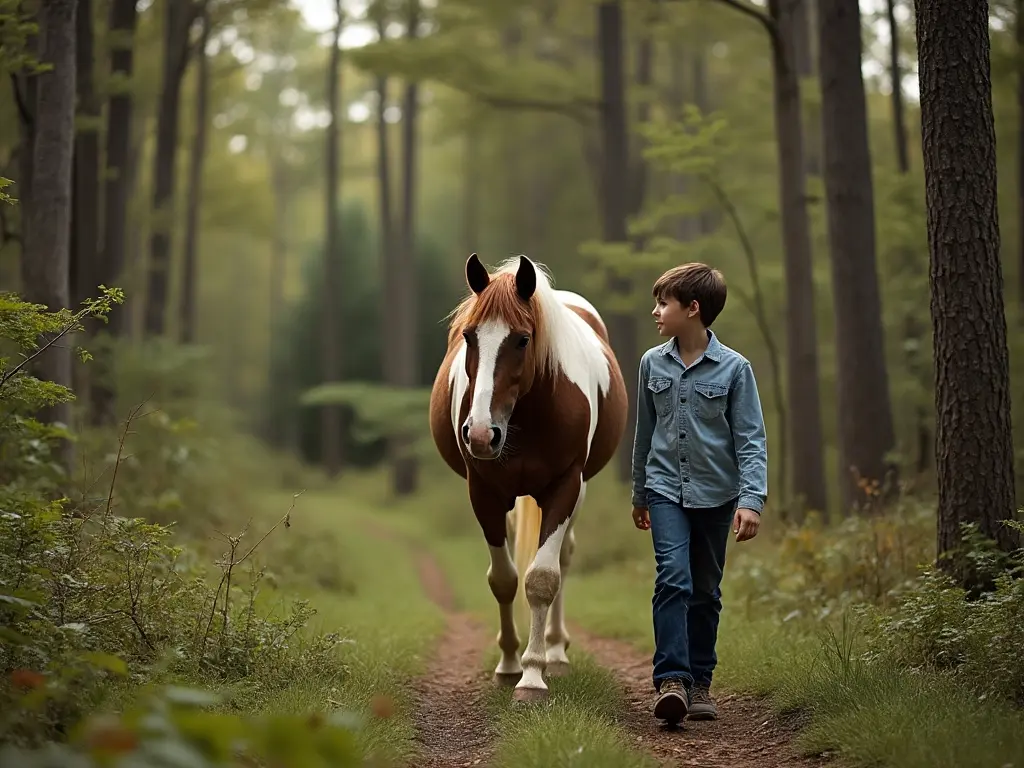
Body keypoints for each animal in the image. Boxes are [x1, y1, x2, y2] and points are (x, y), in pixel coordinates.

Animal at [428, 253, 626, 704]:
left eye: (521, 340)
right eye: (469, 336)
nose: (481, 434)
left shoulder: (565, 486)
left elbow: (542, 579)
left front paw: (533, 675)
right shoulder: (483, 493)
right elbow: (504, 580)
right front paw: (508, 666)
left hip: (578, 491)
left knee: (564, 557)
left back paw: (555, 651)